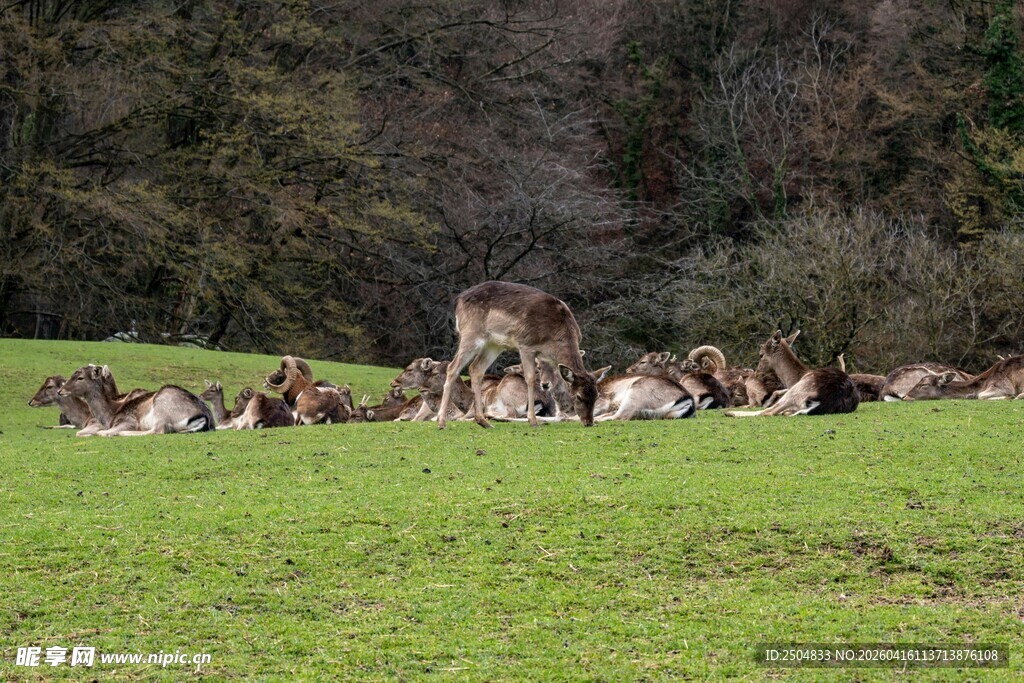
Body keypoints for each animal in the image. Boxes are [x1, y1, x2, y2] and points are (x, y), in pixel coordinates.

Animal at [58, 365, 213, 436]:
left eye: (80, 377)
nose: (60, 390)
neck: (110, 415)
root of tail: (206, 417)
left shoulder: (128, 420)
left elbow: (101, 432)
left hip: (163, 404)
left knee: (157, 430)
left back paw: (124, 433)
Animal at [437, 281, 601, 429]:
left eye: (596, 395)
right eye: (578, 396)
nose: (589, 422)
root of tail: (458, 300)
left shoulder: (544, 357)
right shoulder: (526, 345)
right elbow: (530, 378)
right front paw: (533, 421)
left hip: (494, 344)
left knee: (475, 368)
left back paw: (484, 422)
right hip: (471, 334)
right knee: (452, 367)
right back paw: (441, 422)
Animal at [725, 330, 859, 416]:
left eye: (761, 354)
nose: (757, 372)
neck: (792, 379)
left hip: (797, 390)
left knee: (768, 412)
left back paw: (730, 412)